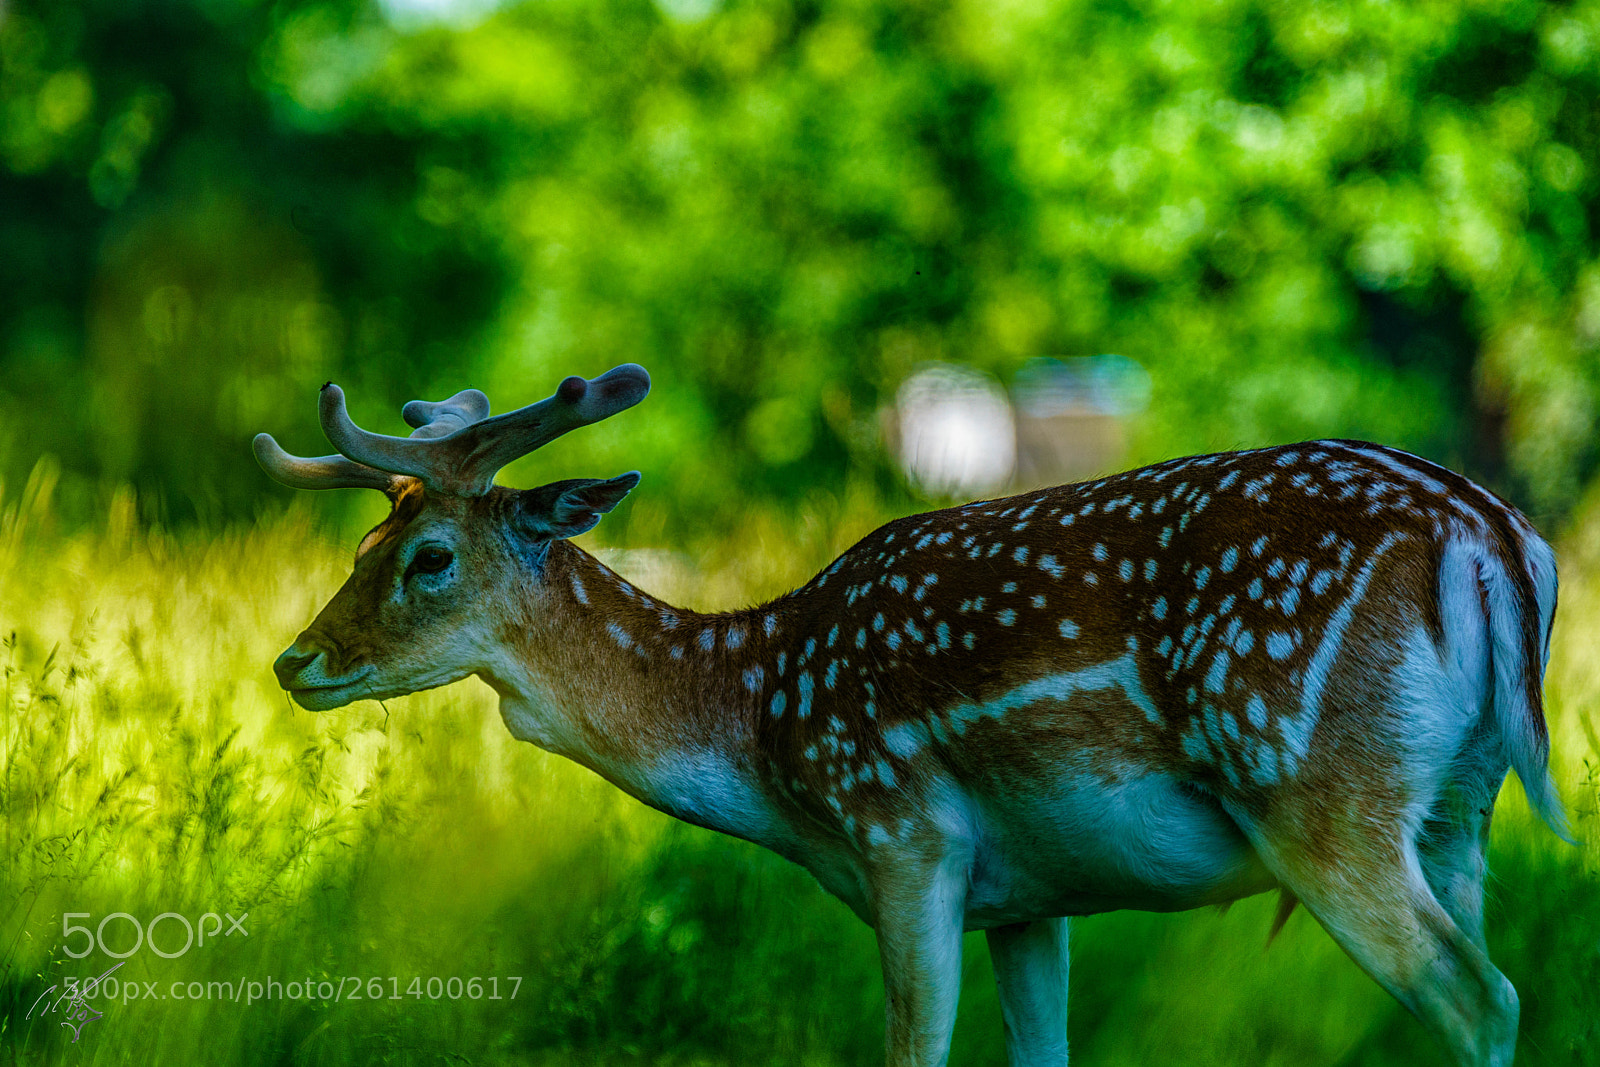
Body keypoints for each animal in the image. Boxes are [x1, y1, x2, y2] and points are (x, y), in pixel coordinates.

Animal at [255, 363, 1569, 1067]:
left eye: (427, 556)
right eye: (360, 541)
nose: (294, 660)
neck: (763, 722)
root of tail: (1489, 533)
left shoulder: (903, 832)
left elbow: (912, 1047)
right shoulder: (1031, 893)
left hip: (1308, 776)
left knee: (1480, 993)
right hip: (1459, 805)